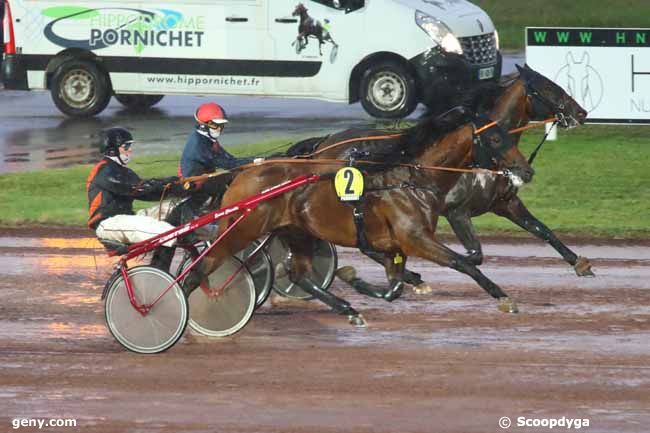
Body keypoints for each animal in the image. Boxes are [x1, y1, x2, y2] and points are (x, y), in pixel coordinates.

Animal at [181, 113, 532, 326]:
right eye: (497, 139)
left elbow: (393, 288)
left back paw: (348, 309)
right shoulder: (415, 239)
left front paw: (355, 279)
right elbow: (464, 264)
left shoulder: (397, 245)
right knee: (201, 267)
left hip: (297, 231)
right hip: (241, 230)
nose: (527, 171)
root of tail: (243, 175)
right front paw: (504, 298)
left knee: (300, 275)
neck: (410, 180)